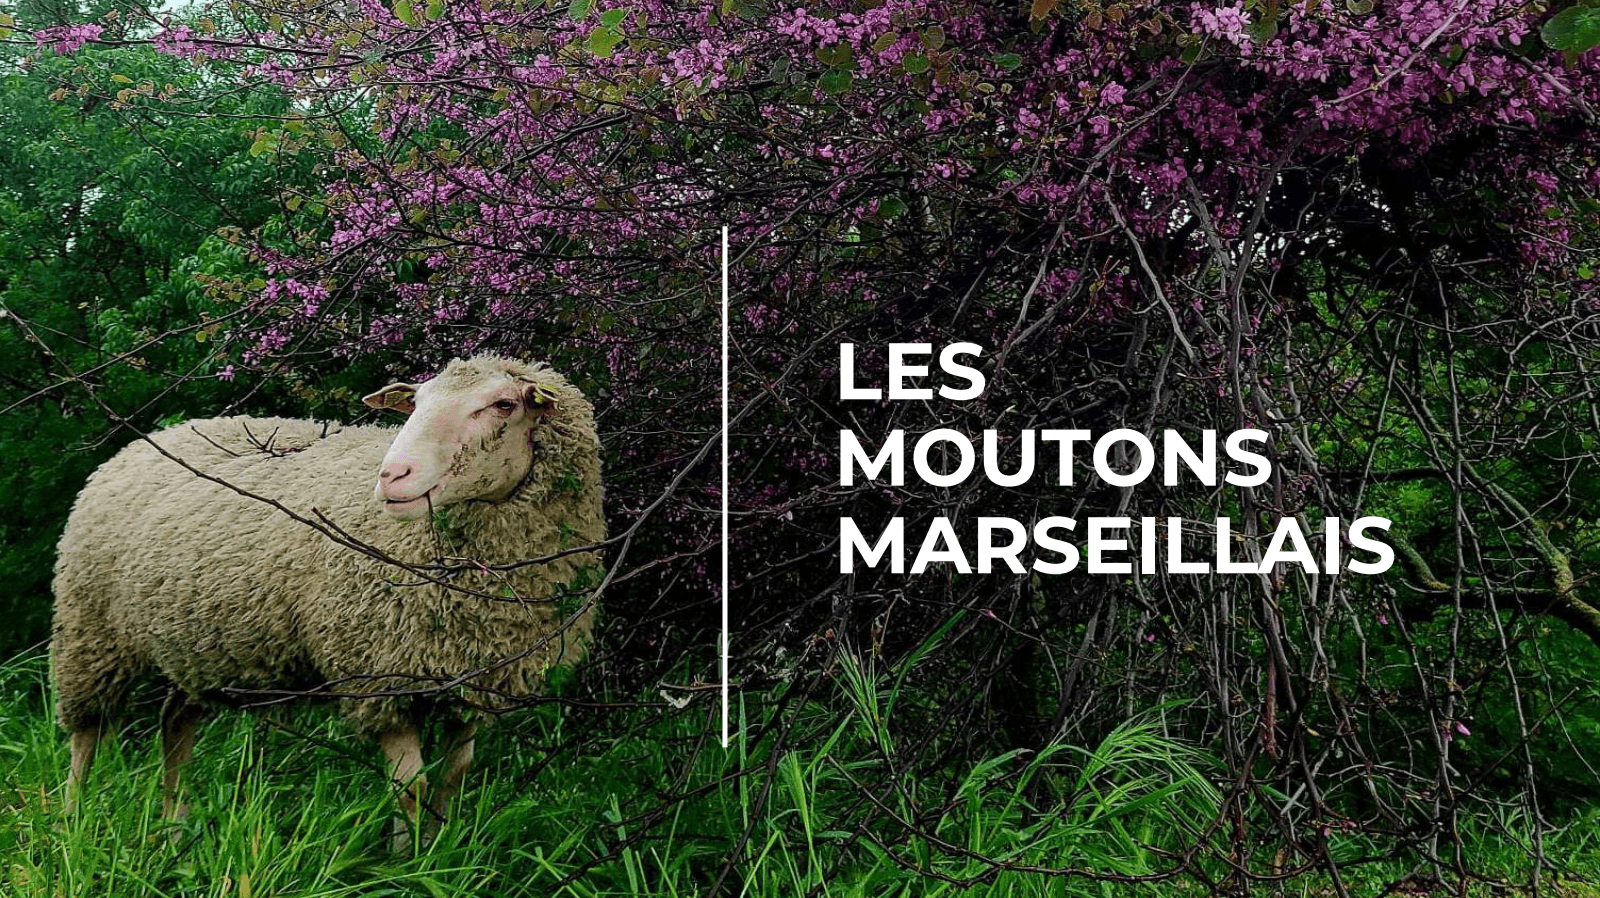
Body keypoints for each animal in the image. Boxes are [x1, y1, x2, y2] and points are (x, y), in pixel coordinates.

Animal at [50, 354, 605, 849]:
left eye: (504, 404)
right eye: (416, 402)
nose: (392, 476)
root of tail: (151, 438)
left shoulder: (476, 680)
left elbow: (454, 778)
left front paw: (441, 850)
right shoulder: (378, 679)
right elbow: (411, 788)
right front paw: (405, 864)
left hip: (197, 643)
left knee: (174, 722)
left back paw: (175, 827)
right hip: (90, 628)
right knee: (86, 736)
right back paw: (75, 822)